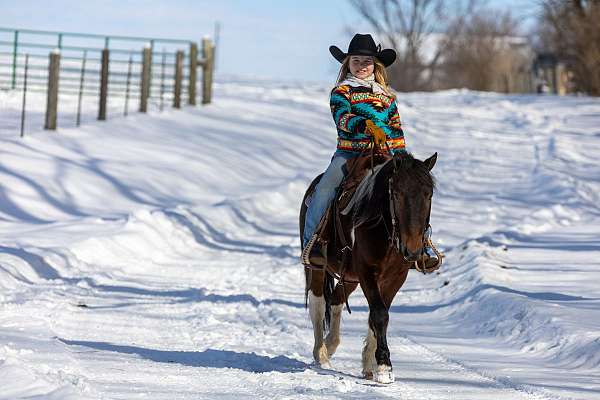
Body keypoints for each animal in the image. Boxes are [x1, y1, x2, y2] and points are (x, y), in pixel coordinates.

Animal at [298, 151, 436, 384]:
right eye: (396, 194)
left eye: (428, 194)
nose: (413, 250)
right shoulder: (367, 273)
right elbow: (379, 314)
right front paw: (384, 367)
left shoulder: (395, 277)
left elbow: (378, 314)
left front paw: (370, 365)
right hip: (317, 268)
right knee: (318, 302)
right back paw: (321, 355)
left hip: (350, 278)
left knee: (336, 299)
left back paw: (331, 345)